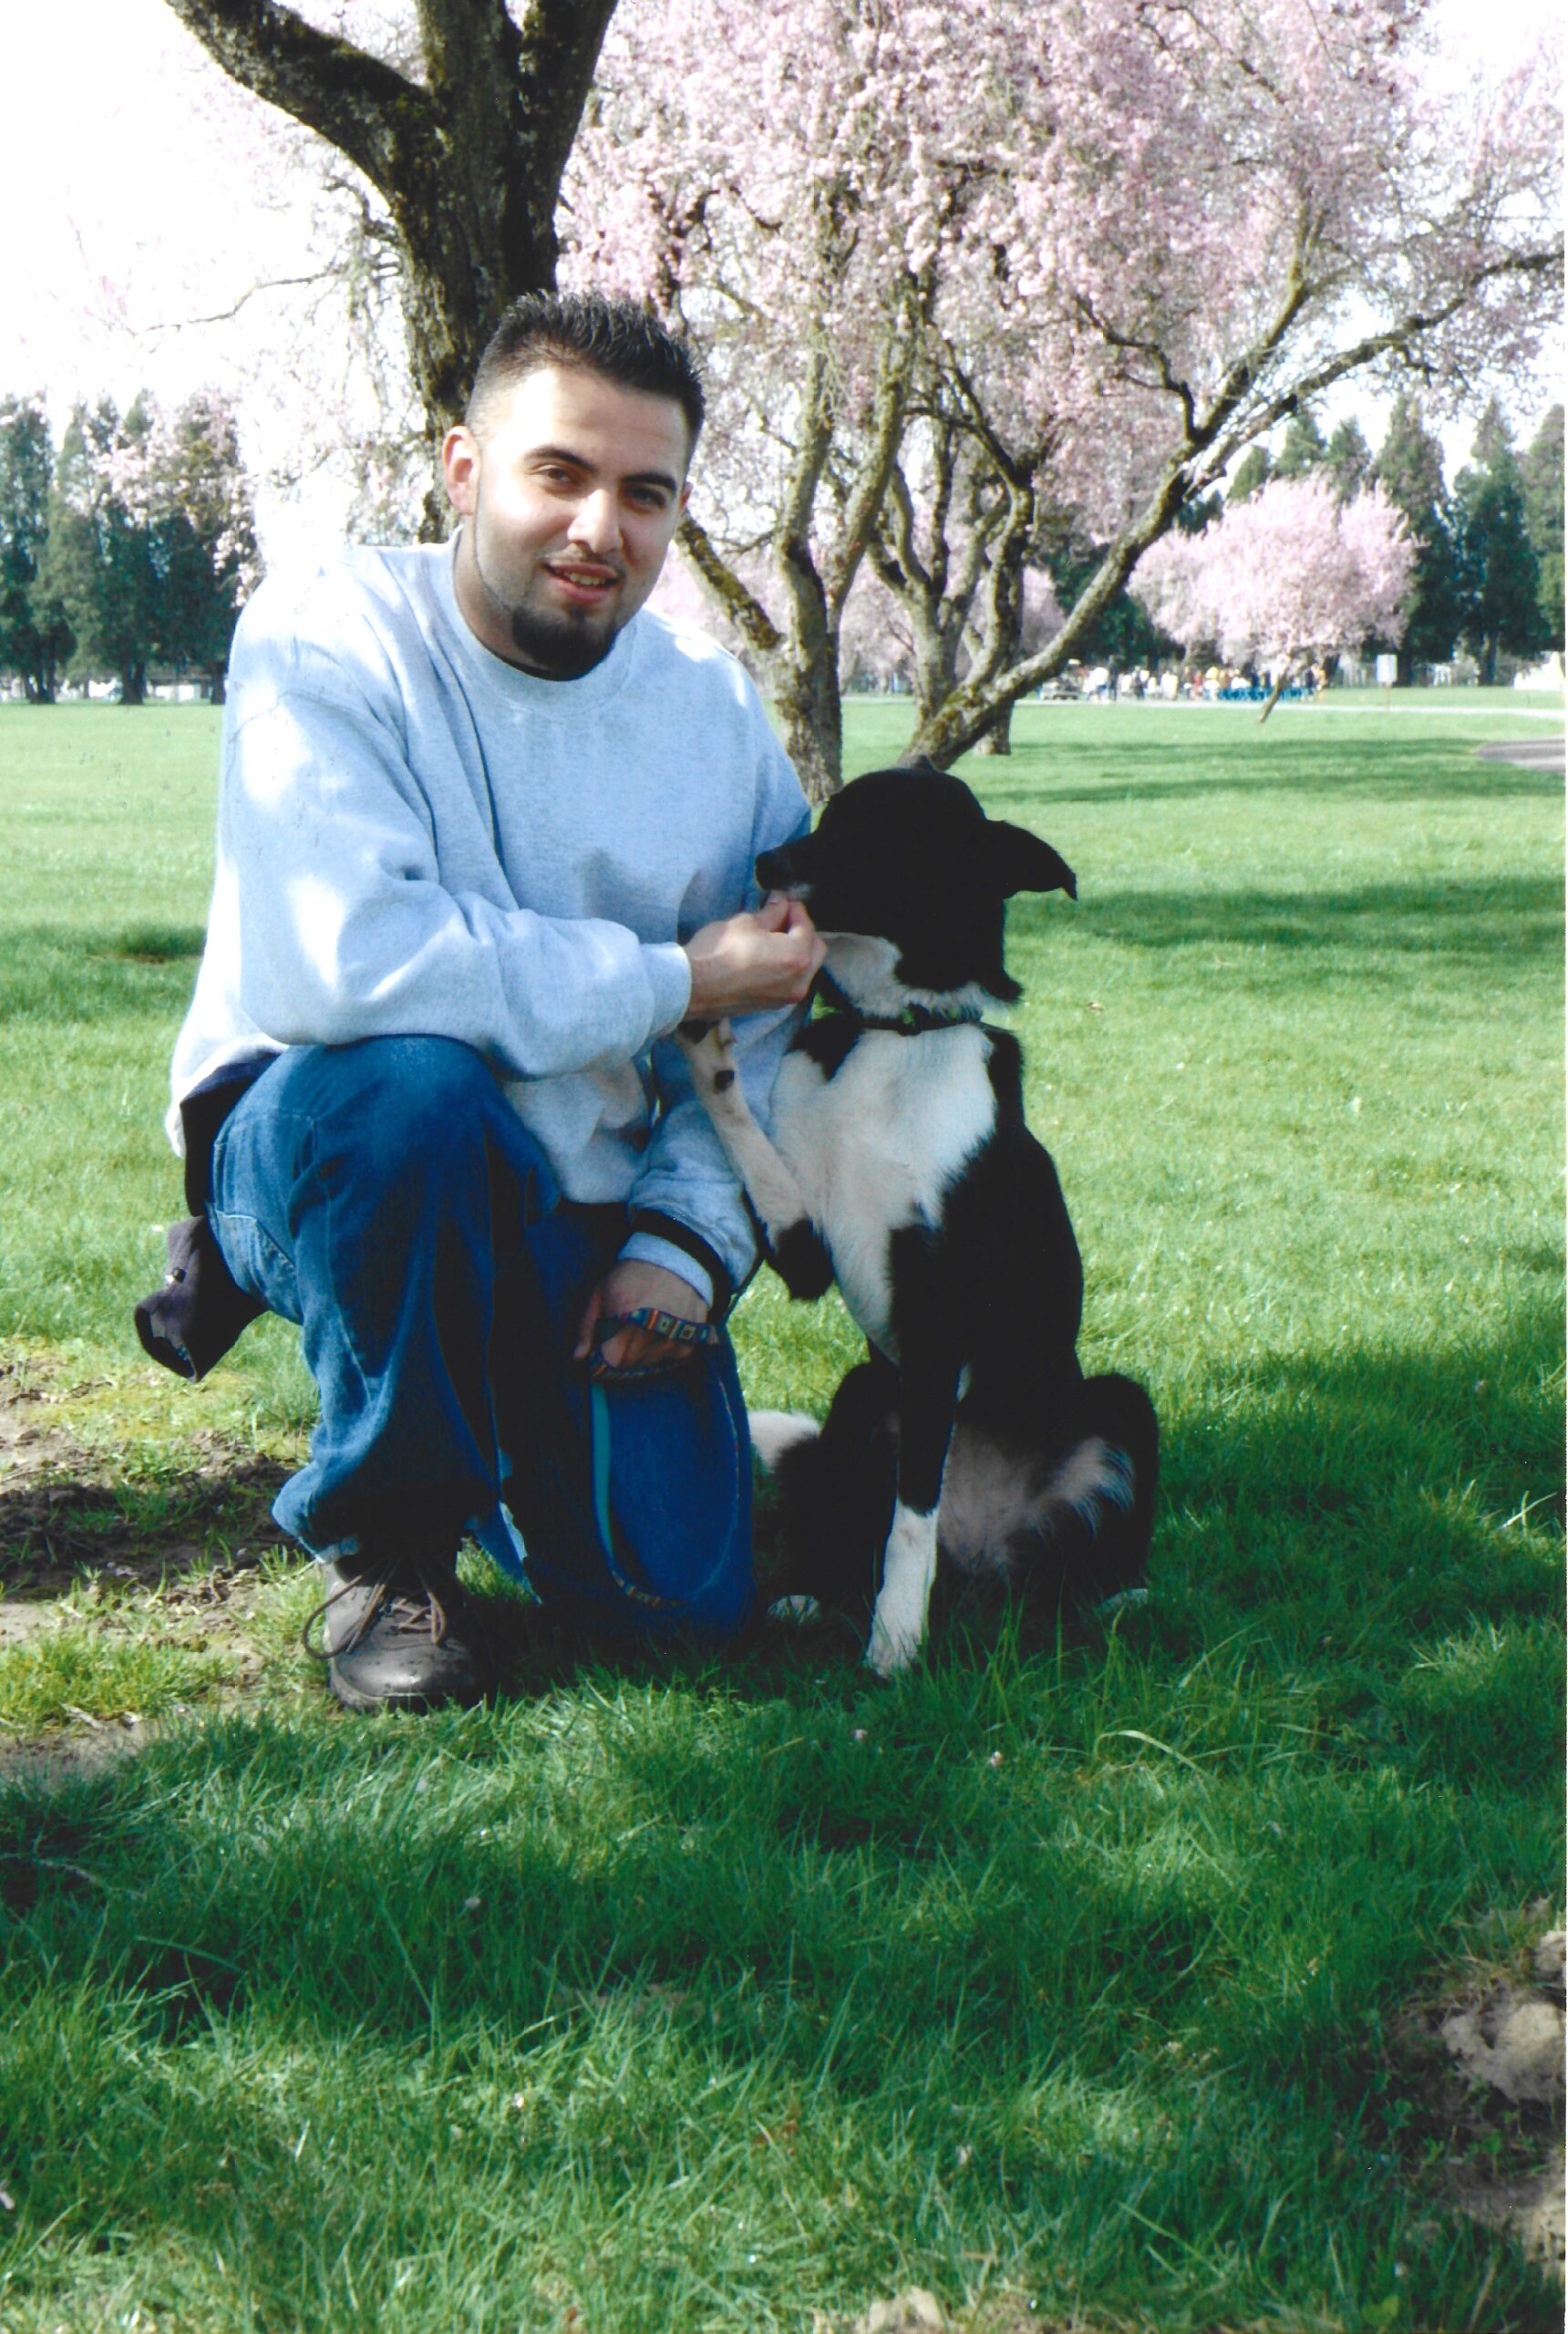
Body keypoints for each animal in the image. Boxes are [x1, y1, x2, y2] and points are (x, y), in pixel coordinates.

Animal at [681, 765, 1157, 1680]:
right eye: (830, 817)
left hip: (1117, 1404)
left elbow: (910, 1525)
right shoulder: (807, 1253)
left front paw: (895, 1646)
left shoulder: (938, 1315)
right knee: (851, 1513)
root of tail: (985, 1554)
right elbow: (746, 1132)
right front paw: (703, 1040)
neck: (890, 1038)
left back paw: (1118, 1598)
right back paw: (810, 1595)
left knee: (1044, 1552)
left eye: (890, 837)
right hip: (866, 1394)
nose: (766, 863)